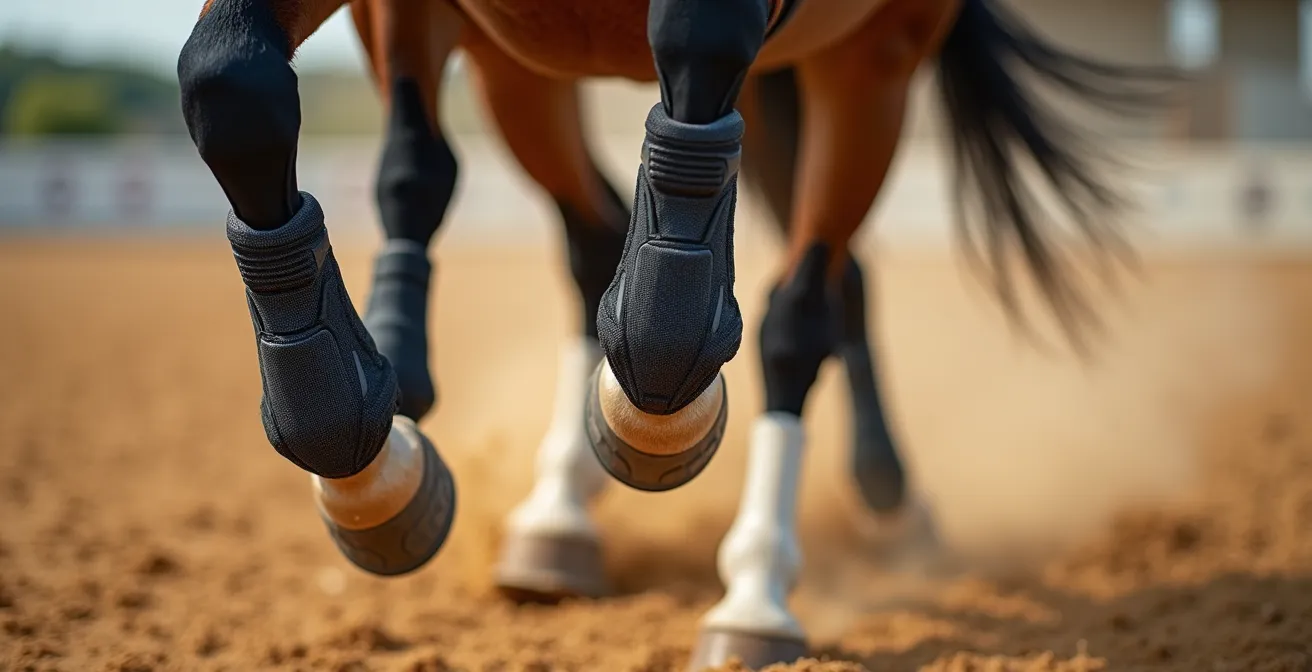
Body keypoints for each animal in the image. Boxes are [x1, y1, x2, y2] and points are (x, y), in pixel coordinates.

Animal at [176, 0, 1172, 667]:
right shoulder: (414, 18)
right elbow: (234, 83)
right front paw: (374, 467)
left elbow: (685, 316)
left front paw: (664, 432)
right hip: (536, 72)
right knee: (593, 235)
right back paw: (556, 518)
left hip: (867, 61)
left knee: (810, 297)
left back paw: (774, 578)